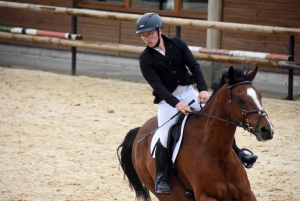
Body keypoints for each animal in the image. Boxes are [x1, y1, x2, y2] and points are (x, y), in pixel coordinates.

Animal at [116, 66, 274, 201]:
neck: (217, 152)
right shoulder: (205, 196)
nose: (267, 130)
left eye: (260, 96)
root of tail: (139, 131)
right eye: (240, 99)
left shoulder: (246, 193)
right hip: (164, 195)